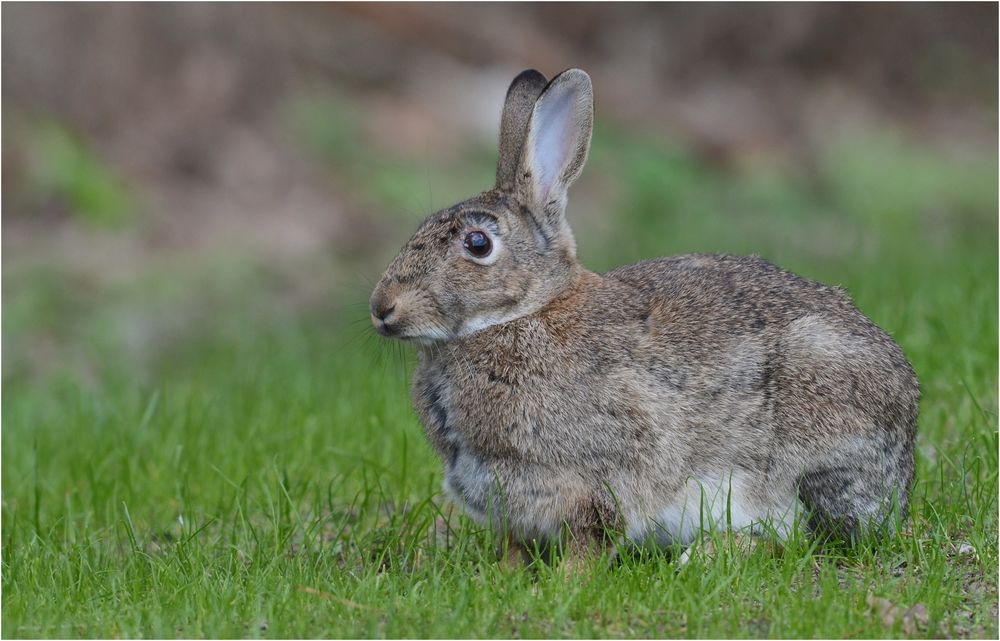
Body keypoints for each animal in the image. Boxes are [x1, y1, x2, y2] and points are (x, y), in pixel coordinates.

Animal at [370, 67, 920, 564]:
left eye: (478, 244)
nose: (381, 307)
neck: (521, 315)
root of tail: (903, 465)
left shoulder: (594, 481)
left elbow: (590, 540)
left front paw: (567, 581)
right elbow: (515, 548)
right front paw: (507, 576)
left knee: (804, 539)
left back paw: (705, 555)